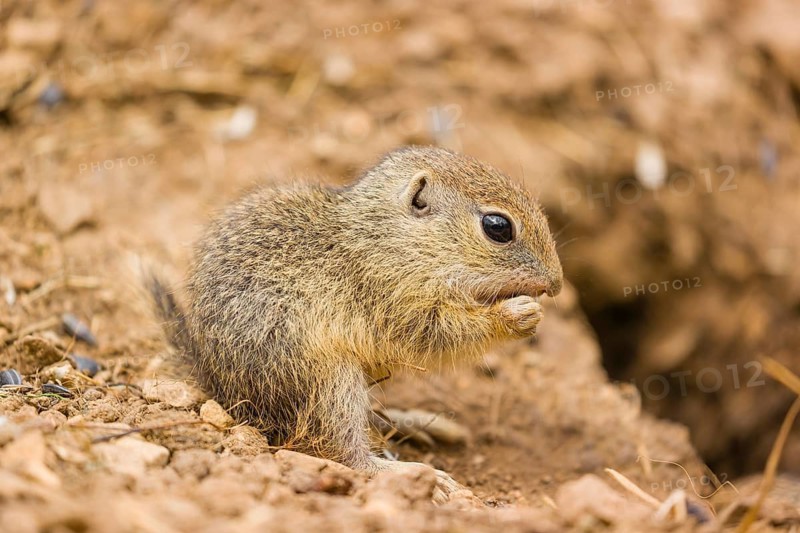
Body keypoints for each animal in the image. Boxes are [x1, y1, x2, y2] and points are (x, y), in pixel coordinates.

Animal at [146, 146, 562, 496]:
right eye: (498, 227)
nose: (556, 284)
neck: (390, 236)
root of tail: (220, 387)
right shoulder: (396, 299)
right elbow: (438, 334)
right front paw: (519, 315)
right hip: (329, 381)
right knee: (341, 450)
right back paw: (418, 474)